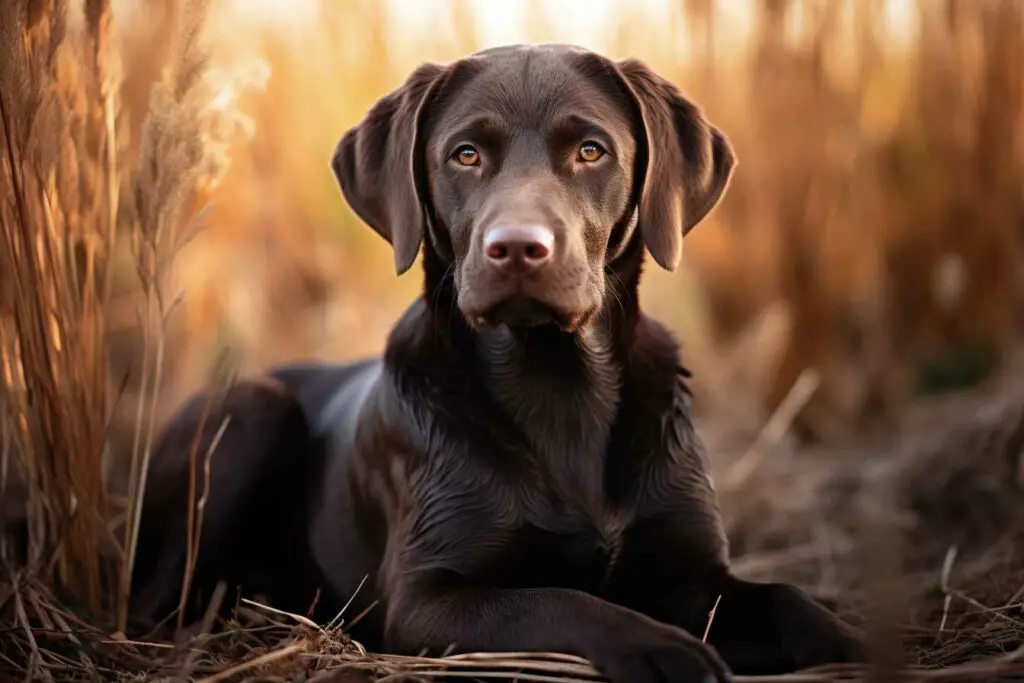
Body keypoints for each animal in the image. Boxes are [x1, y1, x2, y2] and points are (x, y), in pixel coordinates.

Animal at [130, 45, 864, 679]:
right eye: (466, 154)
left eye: (591, 150)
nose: (516, 247)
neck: (558, 384)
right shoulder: (427, 600)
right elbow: (564, 598)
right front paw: (664, 647)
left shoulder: (697, 577)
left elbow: (788, 598)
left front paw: (855, 640)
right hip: (249, 407)